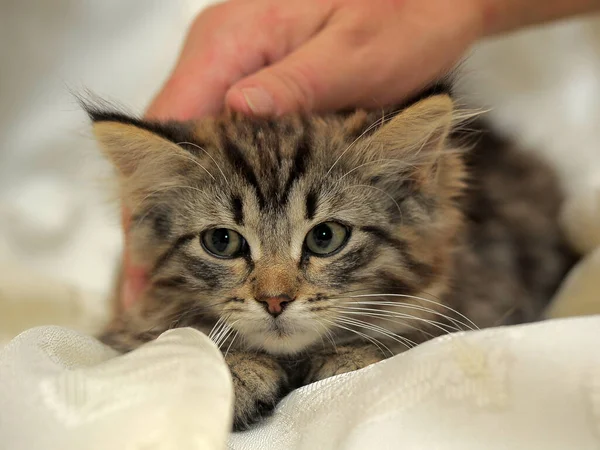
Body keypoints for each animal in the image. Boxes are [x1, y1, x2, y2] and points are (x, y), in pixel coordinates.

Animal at [88, 85, 572, 428]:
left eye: (325, 237)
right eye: (222, 242)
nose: (275, 301)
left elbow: (409, 337)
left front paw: (349, 357)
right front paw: (236, 372)